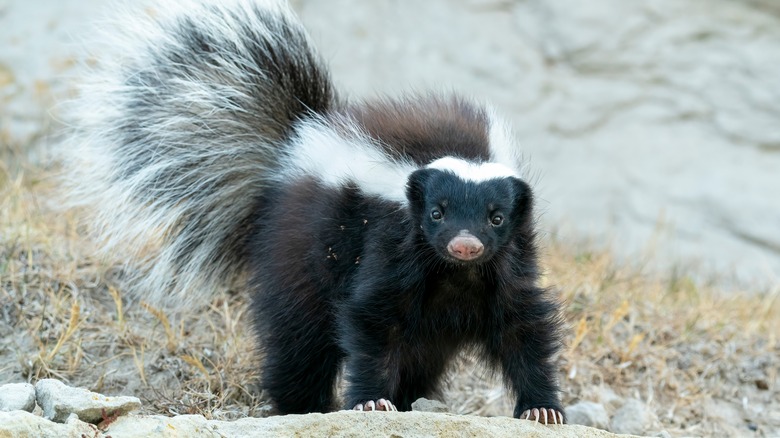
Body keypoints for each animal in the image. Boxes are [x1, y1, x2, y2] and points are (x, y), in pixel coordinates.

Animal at [65, 0, 568, 424]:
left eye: (496, 217)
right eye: (437, 214)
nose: (465, 245)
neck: (454, 274)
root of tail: (296, 141)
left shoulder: (507, 262)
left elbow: (522, 327)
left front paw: (542, 409)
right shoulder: (389, 243)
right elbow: (369, 319)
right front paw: (370, 401)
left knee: (417, 356)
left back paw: (408, 400)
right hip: (298, 253)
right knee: (299, 340)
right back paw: (301, 405)